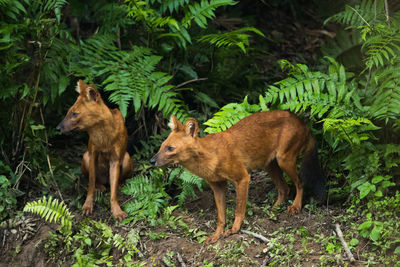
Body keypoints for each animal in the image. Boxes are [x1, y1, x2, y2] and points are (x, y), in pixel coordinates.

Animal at [56, 80, 133, 222]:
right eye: (69, 112)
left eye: (75, 113)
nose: (57, 128)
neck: (104, 137)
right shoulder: (93, 154)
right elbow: (91, 183)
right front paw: (87, 206)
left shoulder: (115, 159)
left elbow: (113, 192)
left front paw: (117, 211)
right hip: (85, 157)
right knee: (95, 181)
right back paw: (101, 186)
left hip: (126, 158)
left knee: (115, 182)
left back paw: (120, 184)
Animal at [150, 111, 324, 245]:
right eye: (161, 146)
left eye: (170, 148)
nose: (151, 161)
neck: (210, 157)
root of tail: (302, 121)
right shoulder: (217, 186)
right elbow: (221, 216)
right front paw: (216, 235)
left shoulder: (242, 178)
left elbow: (239, 208)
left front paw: (234, 229)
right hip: (270, 164)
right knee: (284, 188)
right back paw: (273, 210)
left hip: (284, 159)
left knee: (300, 182)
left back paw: (295, 207)